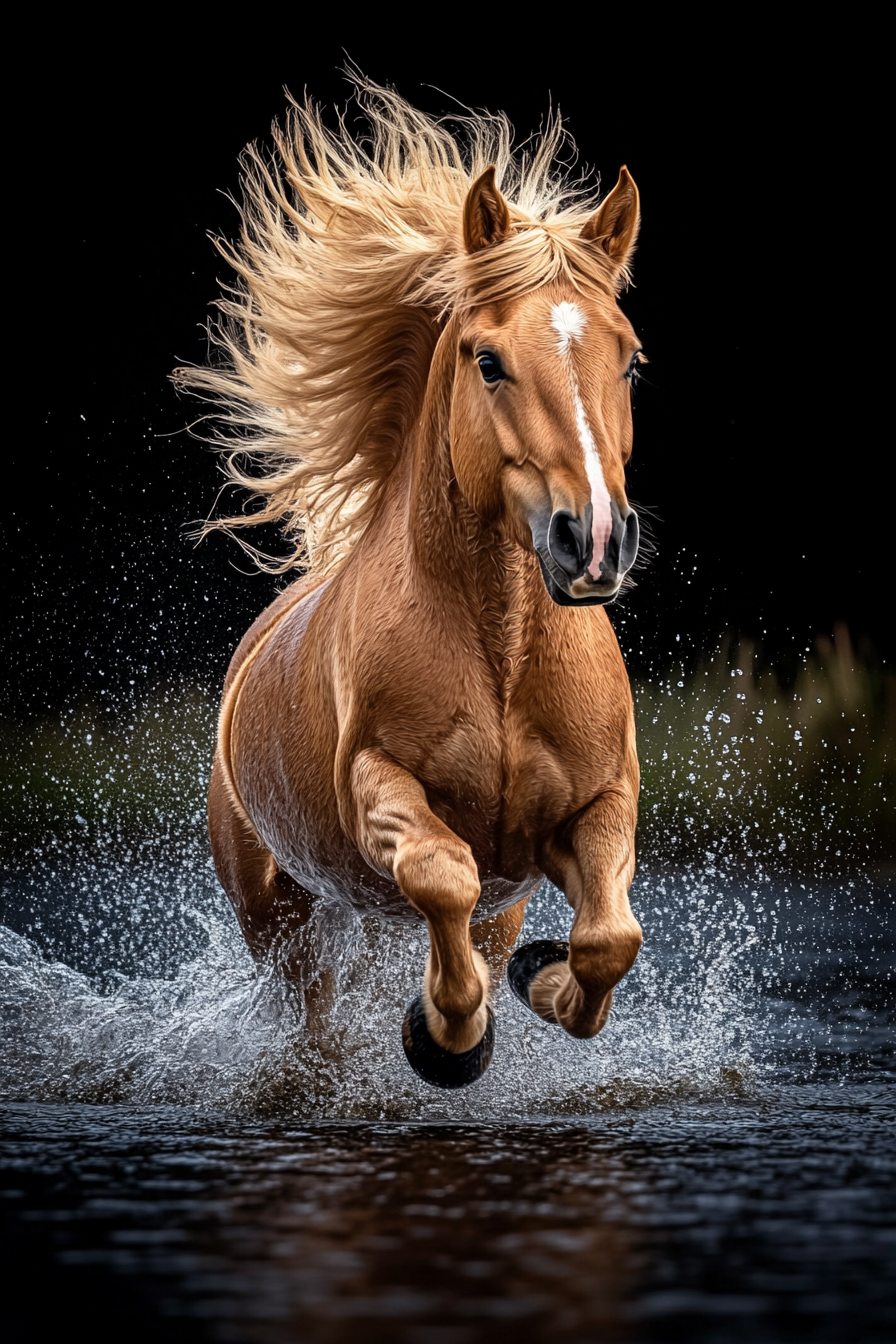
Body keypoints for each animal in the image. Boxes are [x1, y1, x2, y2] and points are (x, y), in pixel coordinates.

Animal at [177, 82, 646, 1089]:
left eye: (630, 358)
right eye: (488, 359)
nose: (592, 540)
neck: (502, 653)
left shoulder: (599, 806)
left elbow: (607, 941)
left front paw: (539, 978)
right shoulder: (378, 787)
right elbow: (441, 875)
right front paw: (444, 1039)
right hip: (281, 919)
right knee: (313, 1008)